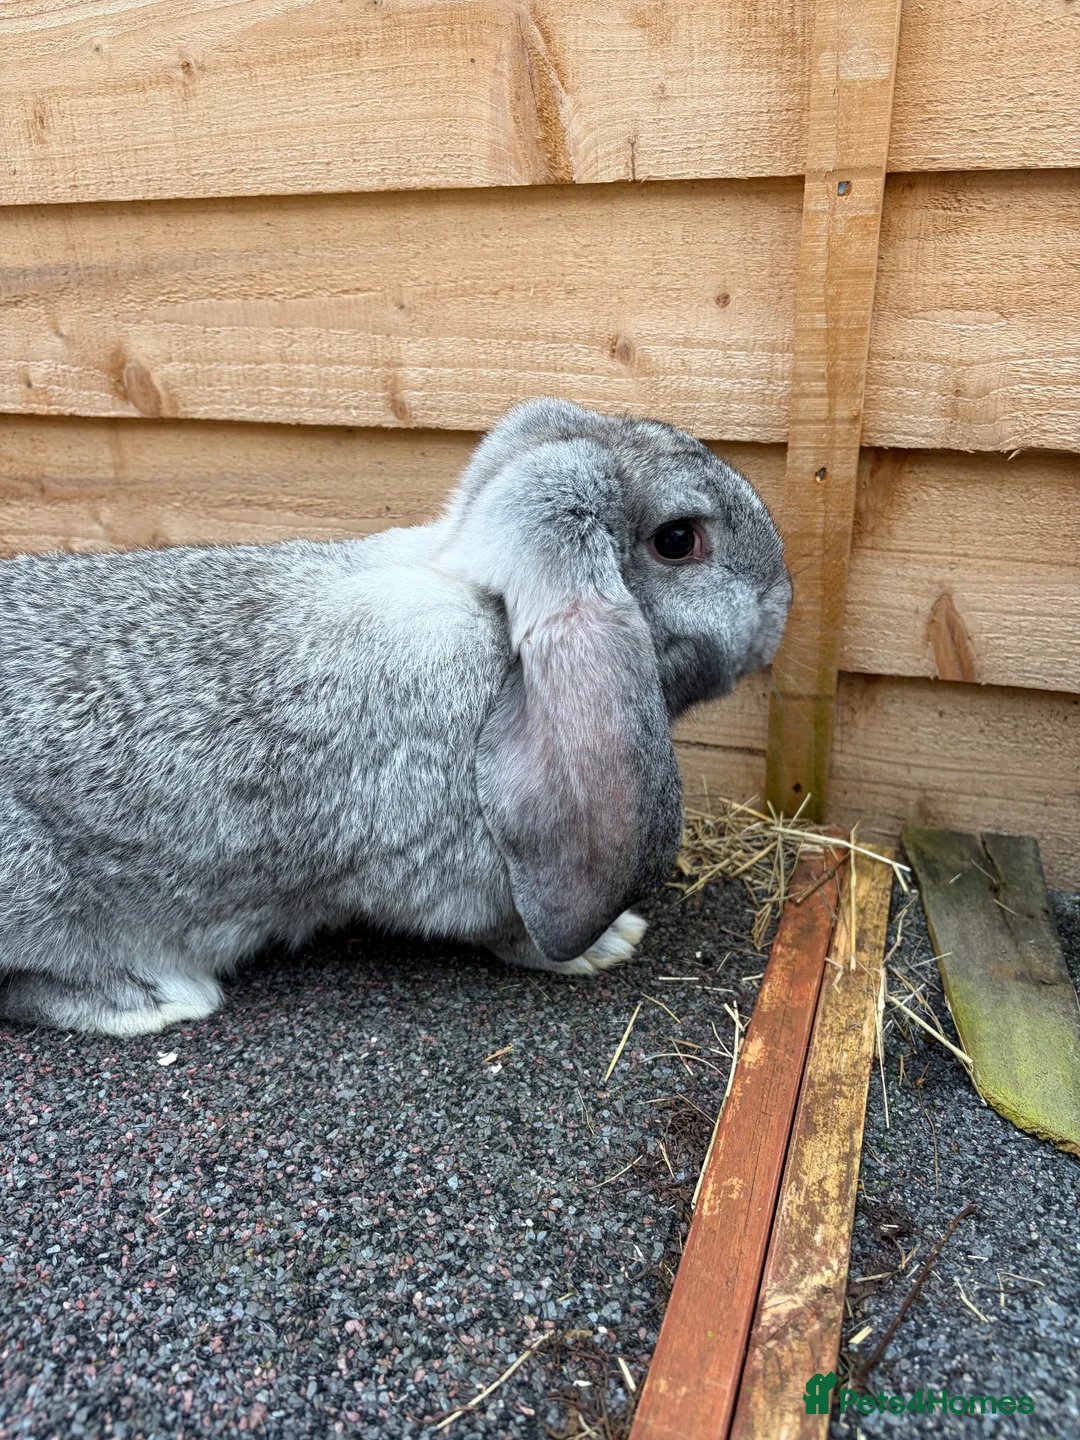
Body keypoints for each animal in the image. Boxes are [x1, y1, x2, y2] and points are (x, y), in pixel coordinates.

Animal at [0, 399, 791, 1036]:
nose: (781, 599)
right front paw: (608, 943)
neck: (490, 618)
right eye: (679, 540)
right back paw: (151, 999)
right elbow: (511, 930)